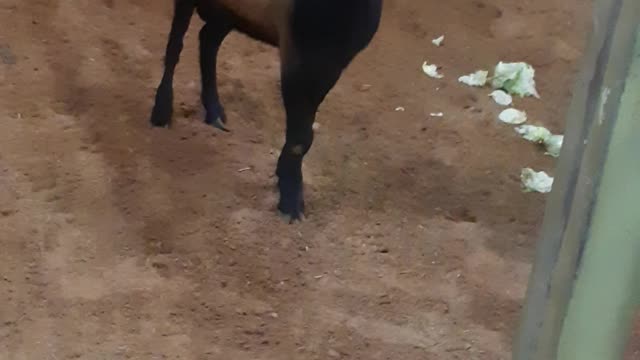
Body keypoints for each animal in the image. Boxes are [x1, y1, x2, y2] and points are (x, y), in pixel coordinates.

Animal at [148, 0, 382, 221]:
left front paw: (286, 182)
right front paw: (290, 201)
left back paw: (214, 112)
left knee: (208, 39)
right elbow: (300, 137)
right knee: (176, 44)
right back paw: (162, 112)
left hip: (230, 12)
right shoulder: (296, 55)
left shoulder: (332, 65)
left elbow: (304, 137)